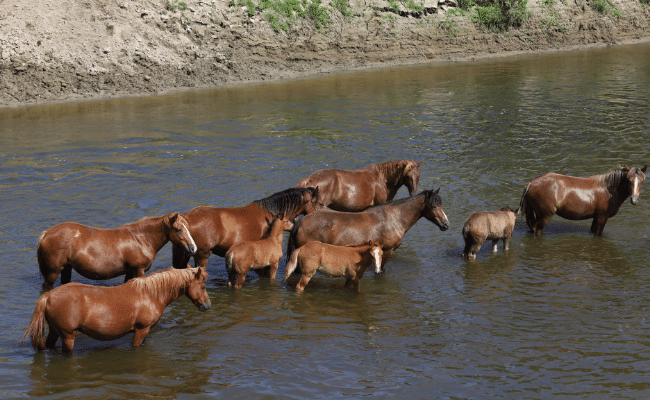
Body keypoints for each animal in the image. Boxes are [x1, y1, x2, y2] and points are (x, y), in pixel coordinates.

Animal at [36, 212, 195, 288]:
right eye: (179, 229)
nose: (193, 248)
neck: (140, 238)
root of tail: (46, 234)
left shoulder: (130, 271)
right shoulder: (139, 270)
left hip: (66, 268)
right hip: (54, 271)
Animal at [286, 189, 448, 270]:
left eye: (441, 205)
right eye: (434, 206)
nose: (446, 225)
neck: (393, 218)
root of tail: (301, 221)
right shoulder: (387, 251)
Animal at [516, 165, 644, 236]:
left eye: (642, 180)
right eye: (629, 179)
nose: (634, 199)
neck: (608, 189)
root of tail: (531, 183)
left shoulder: (596, 217)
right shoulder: (602, 217)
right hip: (545, 215)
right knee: (537, 230)